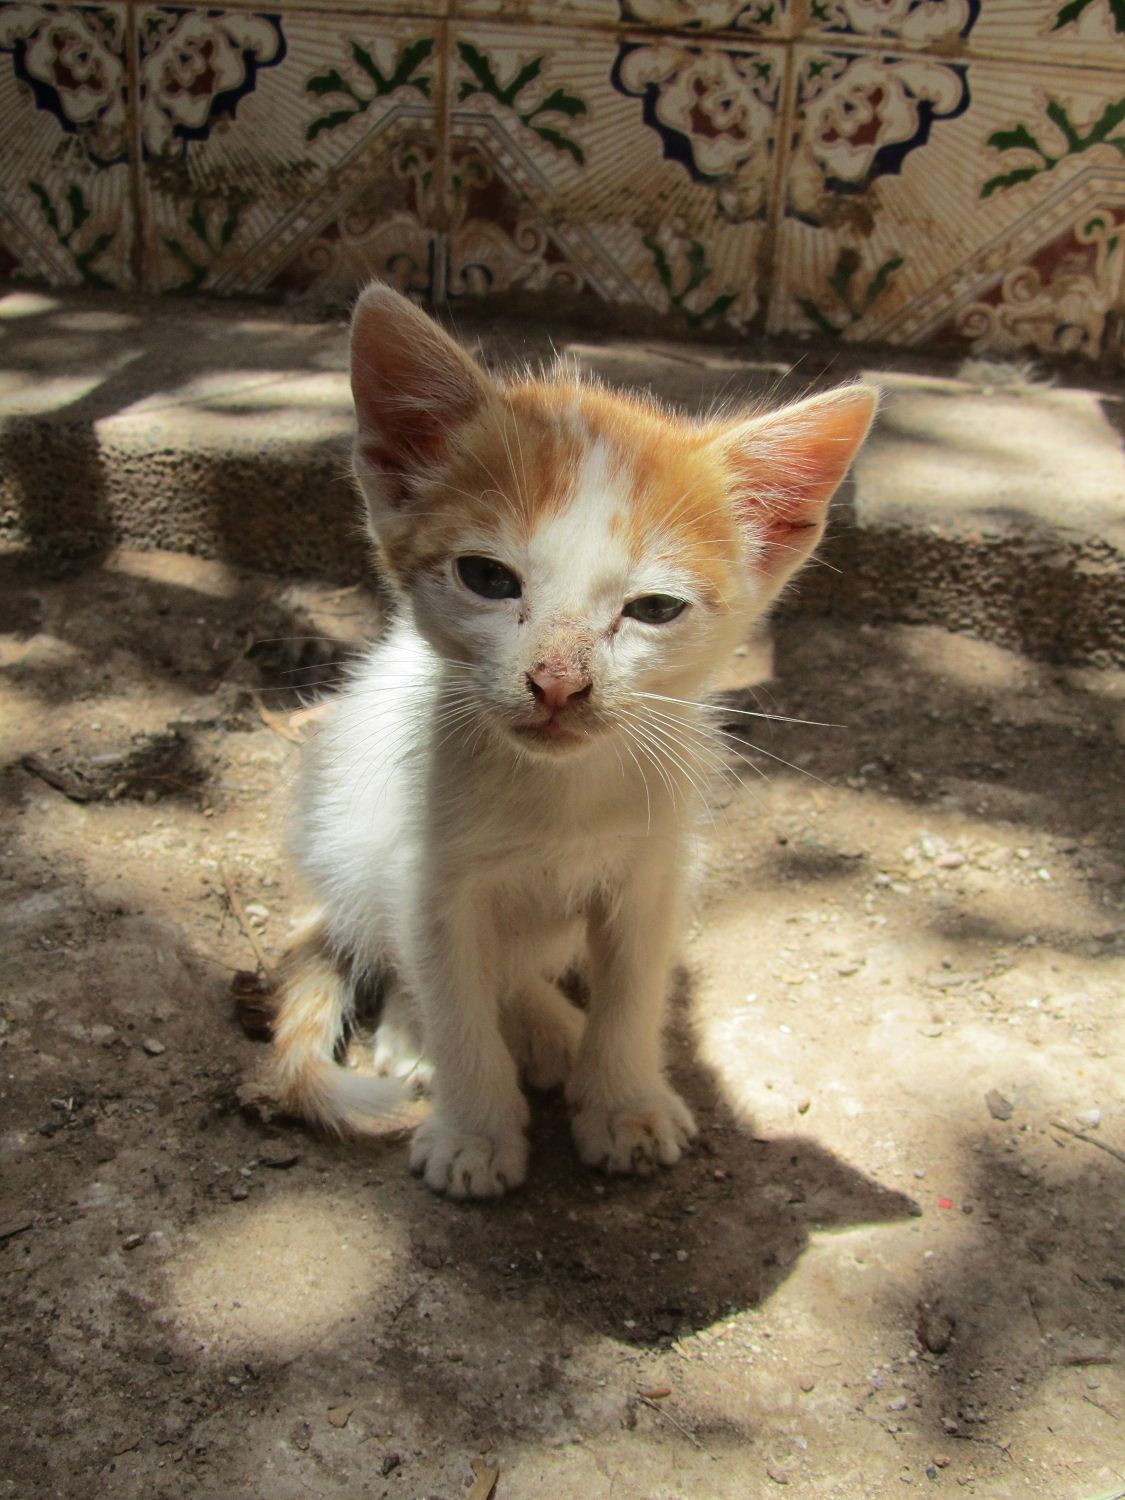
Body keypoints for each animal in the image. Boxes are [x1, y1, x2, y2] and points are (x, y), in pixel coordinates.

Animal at [258, 279, 882, 1194]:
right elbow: (455, 999)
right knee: (406, 953)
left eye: (653, 608)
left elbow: (632, 996)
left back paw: (550, 1028)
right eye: (486, 578)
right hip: (348, 830)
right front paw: (473, 1129)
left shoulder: (653, 873)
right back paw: (432, 1035)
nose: (557, 684)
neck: (558, 791)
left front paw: (623, 1102)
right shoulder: (429, 878)